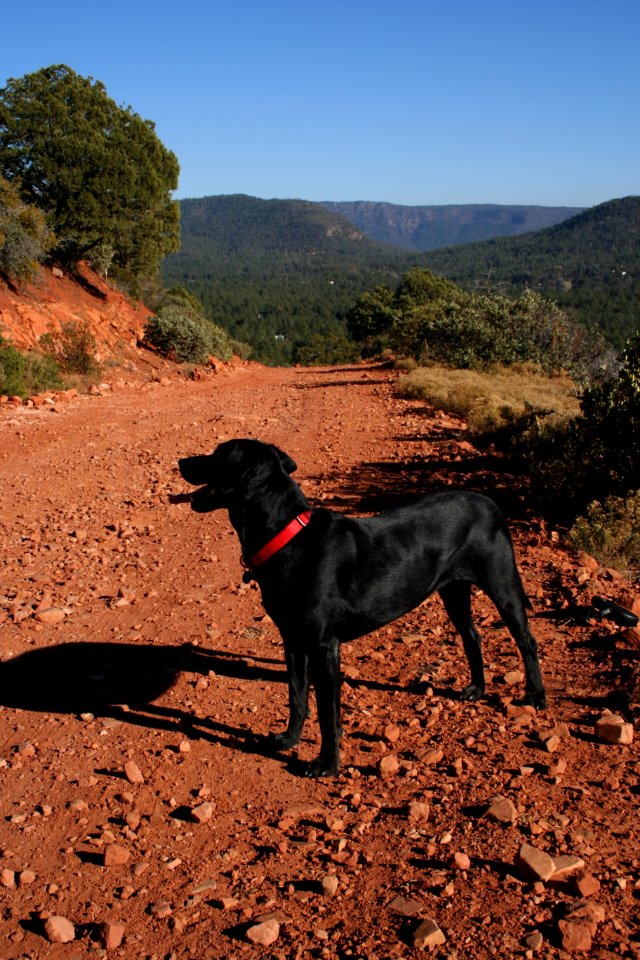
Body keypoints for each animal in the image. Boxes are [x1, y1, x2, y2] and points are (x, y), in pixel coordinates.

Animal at [179, 438, 544, 776]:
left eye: (218, 454)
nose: (180, 461)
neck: (286, 536)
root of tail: (489, 502)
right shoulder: (294, 642)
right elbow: (298, 697)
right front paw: (290, 740)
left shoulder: (323, 646)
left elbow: (326, 711)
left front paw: (327, 763)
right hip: (453, 590)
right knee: (471, 636)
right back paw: (477, 689)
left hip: (502, 585)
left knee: (526, 640)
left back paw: (535, 696)